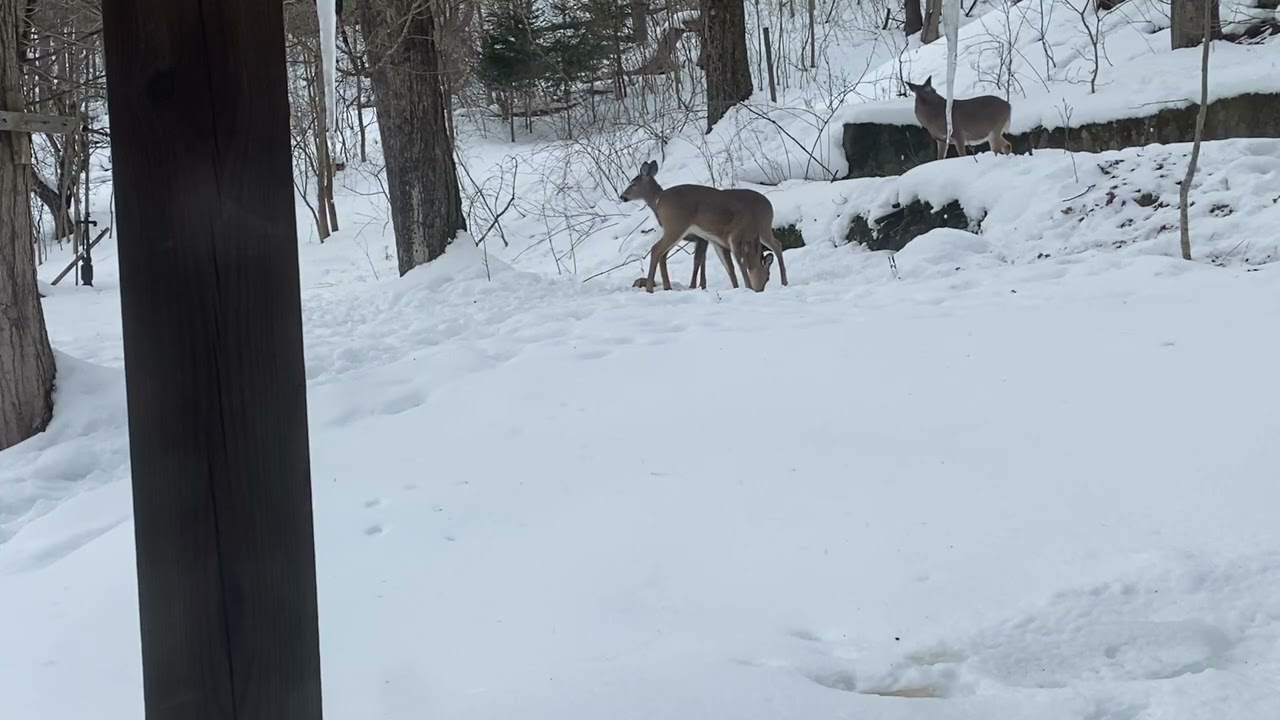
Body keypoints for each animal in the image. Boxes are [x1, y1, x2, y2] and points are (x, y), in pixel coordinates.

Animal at [619, 160, 788, 293]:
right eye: (767, 277)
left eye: (633, 184)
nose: (622, 196)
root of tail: (769, 204)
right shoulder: (724, 240)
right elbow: (735, 265)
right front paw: (745, 288)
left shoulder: (713, 240)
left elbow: (725, 265)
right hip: (676, 227)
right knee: (658, 250)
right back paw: (651, 288)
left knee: (777, 245)